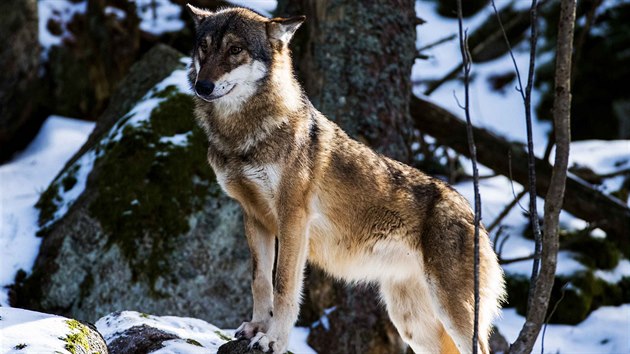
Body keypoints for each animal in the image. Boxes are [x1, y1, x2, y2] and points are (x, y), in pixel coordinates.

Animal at [185, 4, 506, 352]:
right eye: (204, 47)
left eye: (235, 50)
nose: (202, 86)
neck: (241, 137)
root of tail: (472, 213)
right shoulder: (254, 217)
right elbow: (259, 281)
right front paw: (257, 327)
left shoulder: (293, 218)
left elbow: (283, 287)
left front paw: (273, 340)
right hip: (412, 326)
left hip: (452, 315)